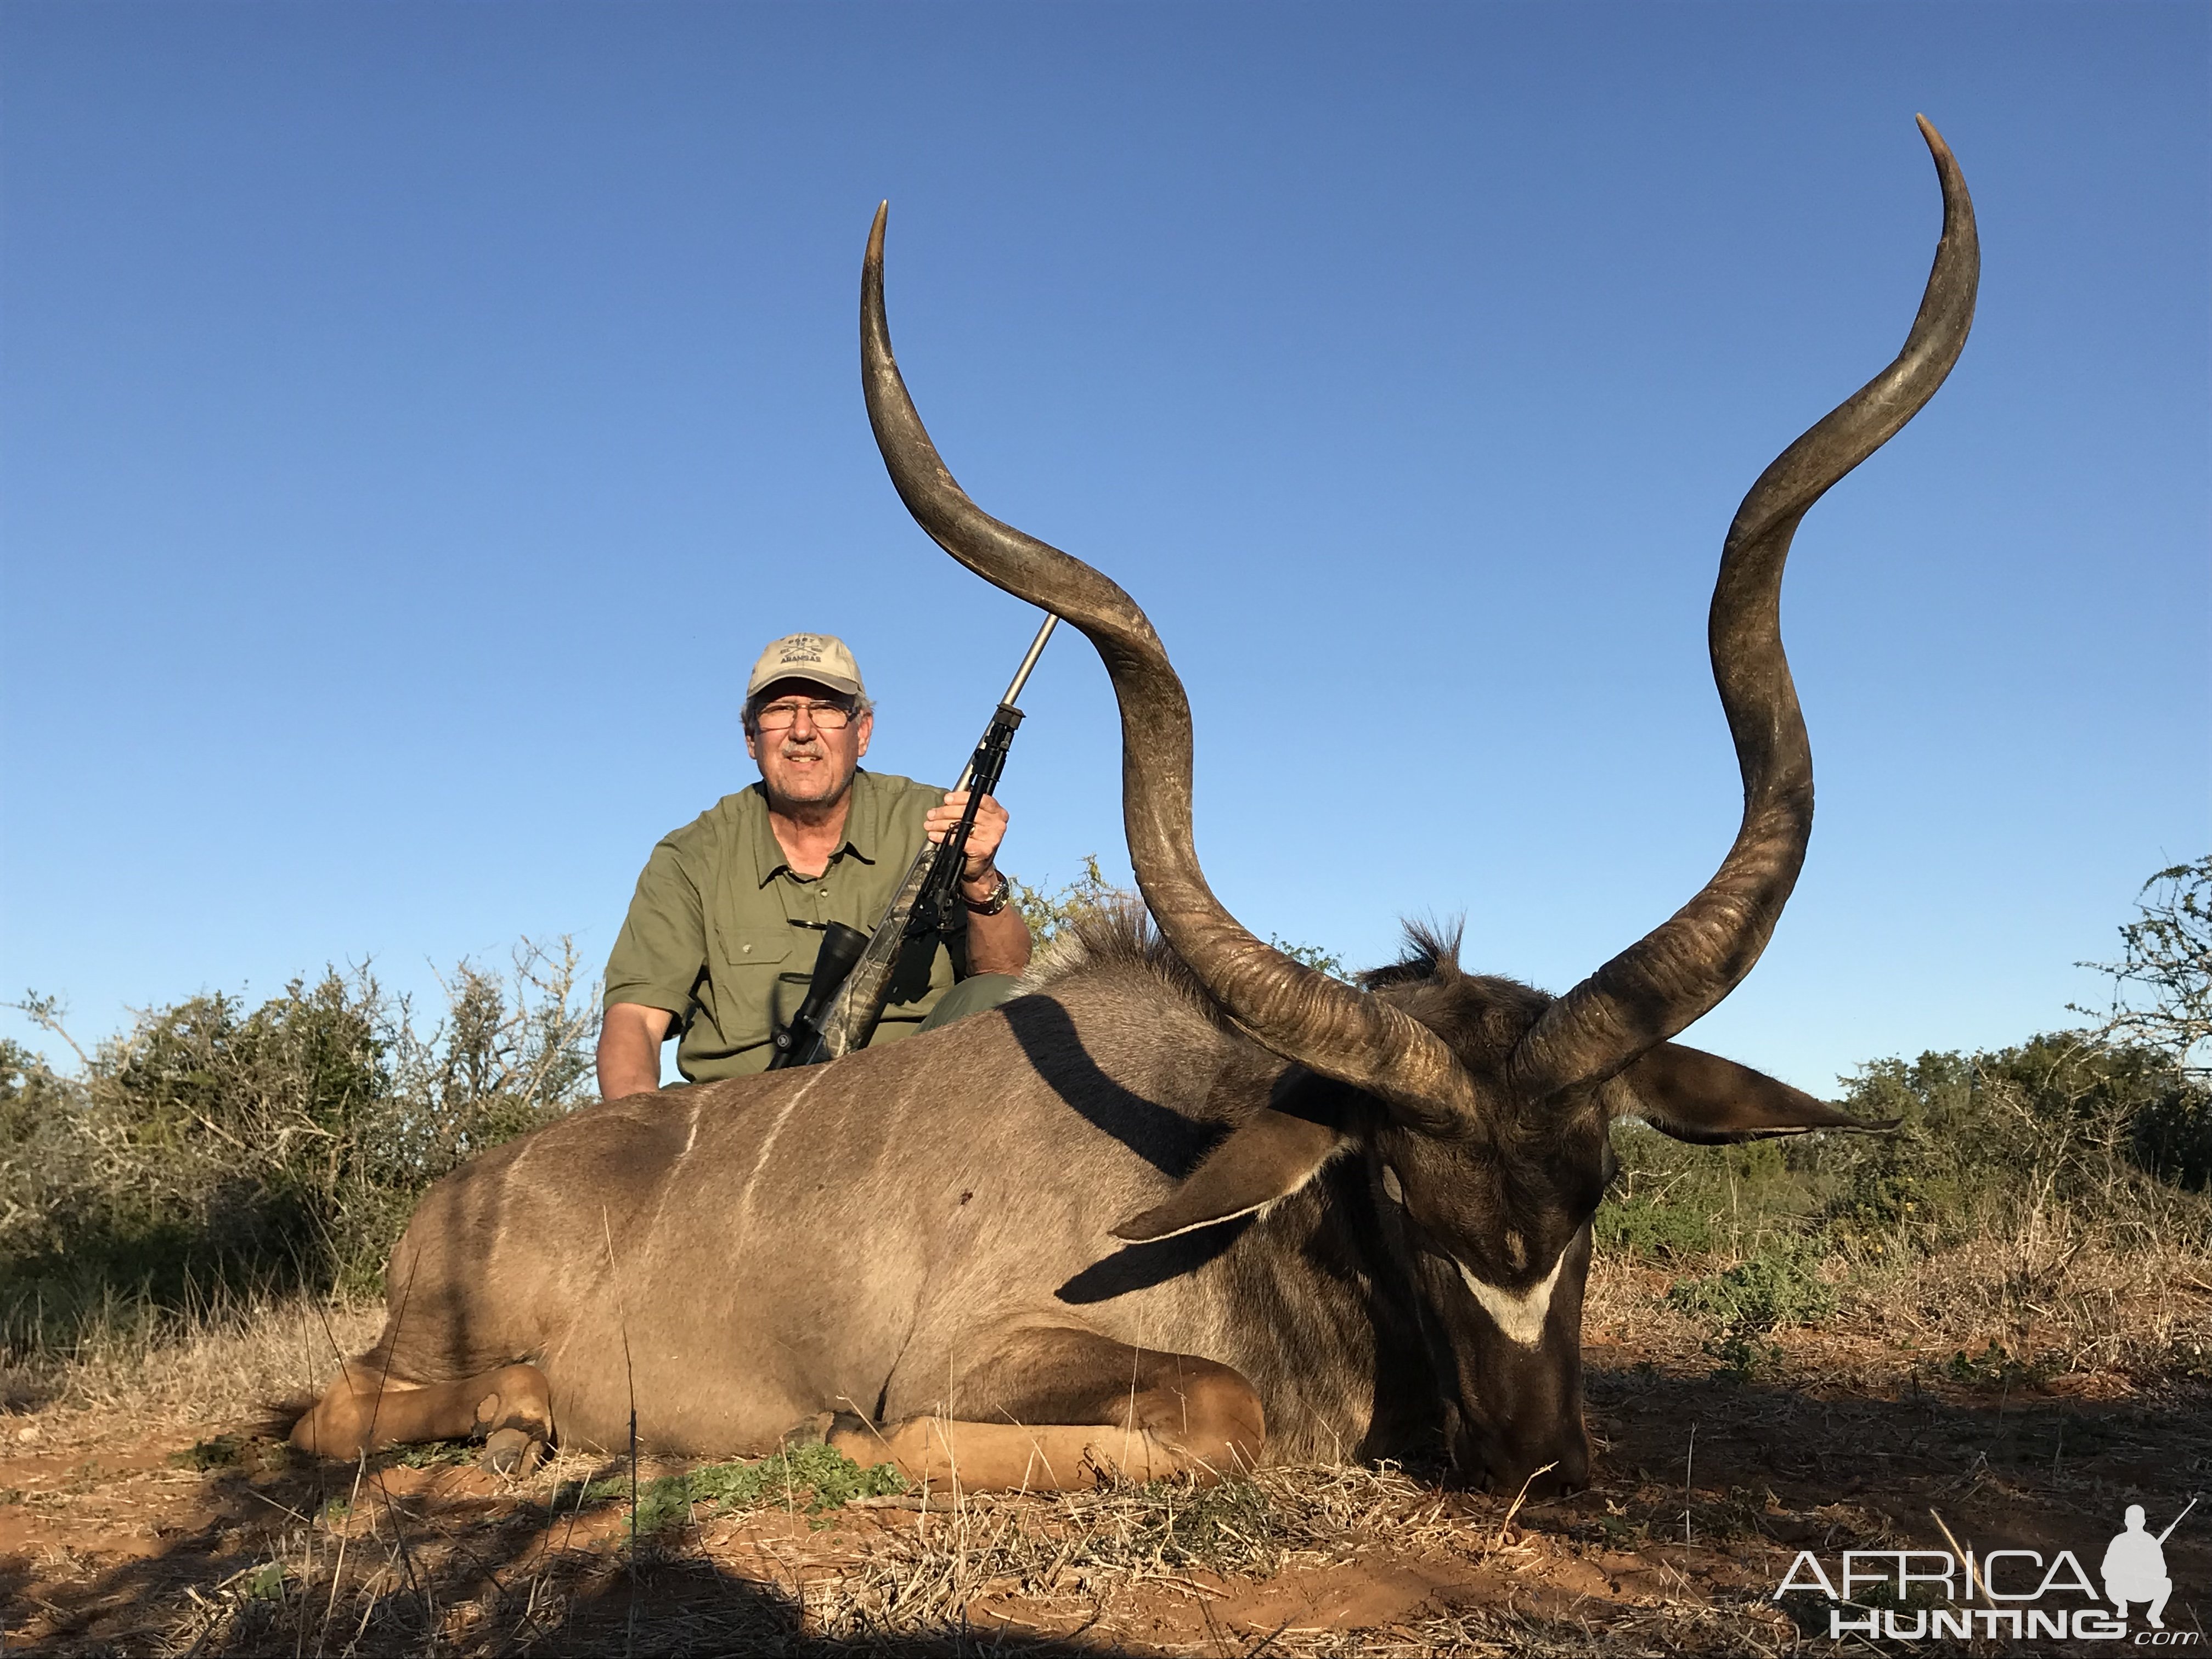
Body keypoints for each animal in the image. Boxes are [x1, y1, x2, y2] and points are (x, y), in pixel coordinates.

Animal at [290, 117, 1973, 1495]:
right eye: (1399, 1197)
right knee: (330, 1411)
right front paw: (863, 1442)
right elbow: (1206, 1415)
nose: (1536, 1461)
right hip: (415, 1357)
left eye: (1600, 1188)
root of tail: (452, 1199)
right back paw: (520, 1423)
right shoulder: (990, 1349)